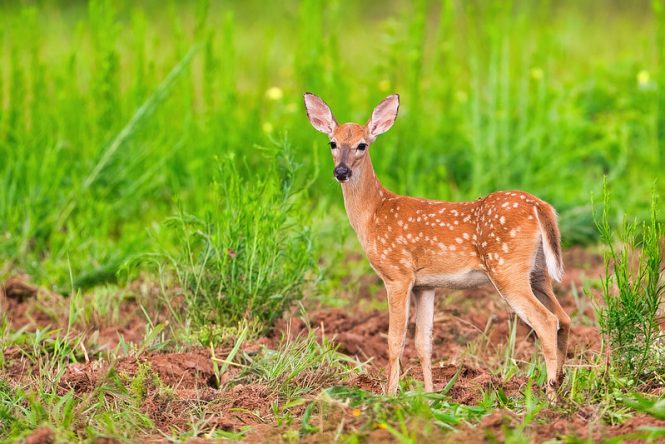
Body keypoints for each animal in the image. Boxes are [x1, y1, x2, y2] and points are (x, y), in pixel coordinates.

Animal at [304, 92, 568, 398]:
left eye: (362, 144)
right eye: (332, 143)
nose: (341, 171)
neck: (374, 213)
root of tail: (540, 206)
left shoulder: (397, 274)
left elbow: (395, 340)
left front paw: (389, 396)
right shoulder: (425, 284)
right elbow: (424, 343)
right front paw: (430, 395)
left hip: (506, 268)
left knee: (547, 321)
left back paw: (549, 395)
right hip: (538, 271)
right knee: (564, 318)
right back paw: (560, 384)